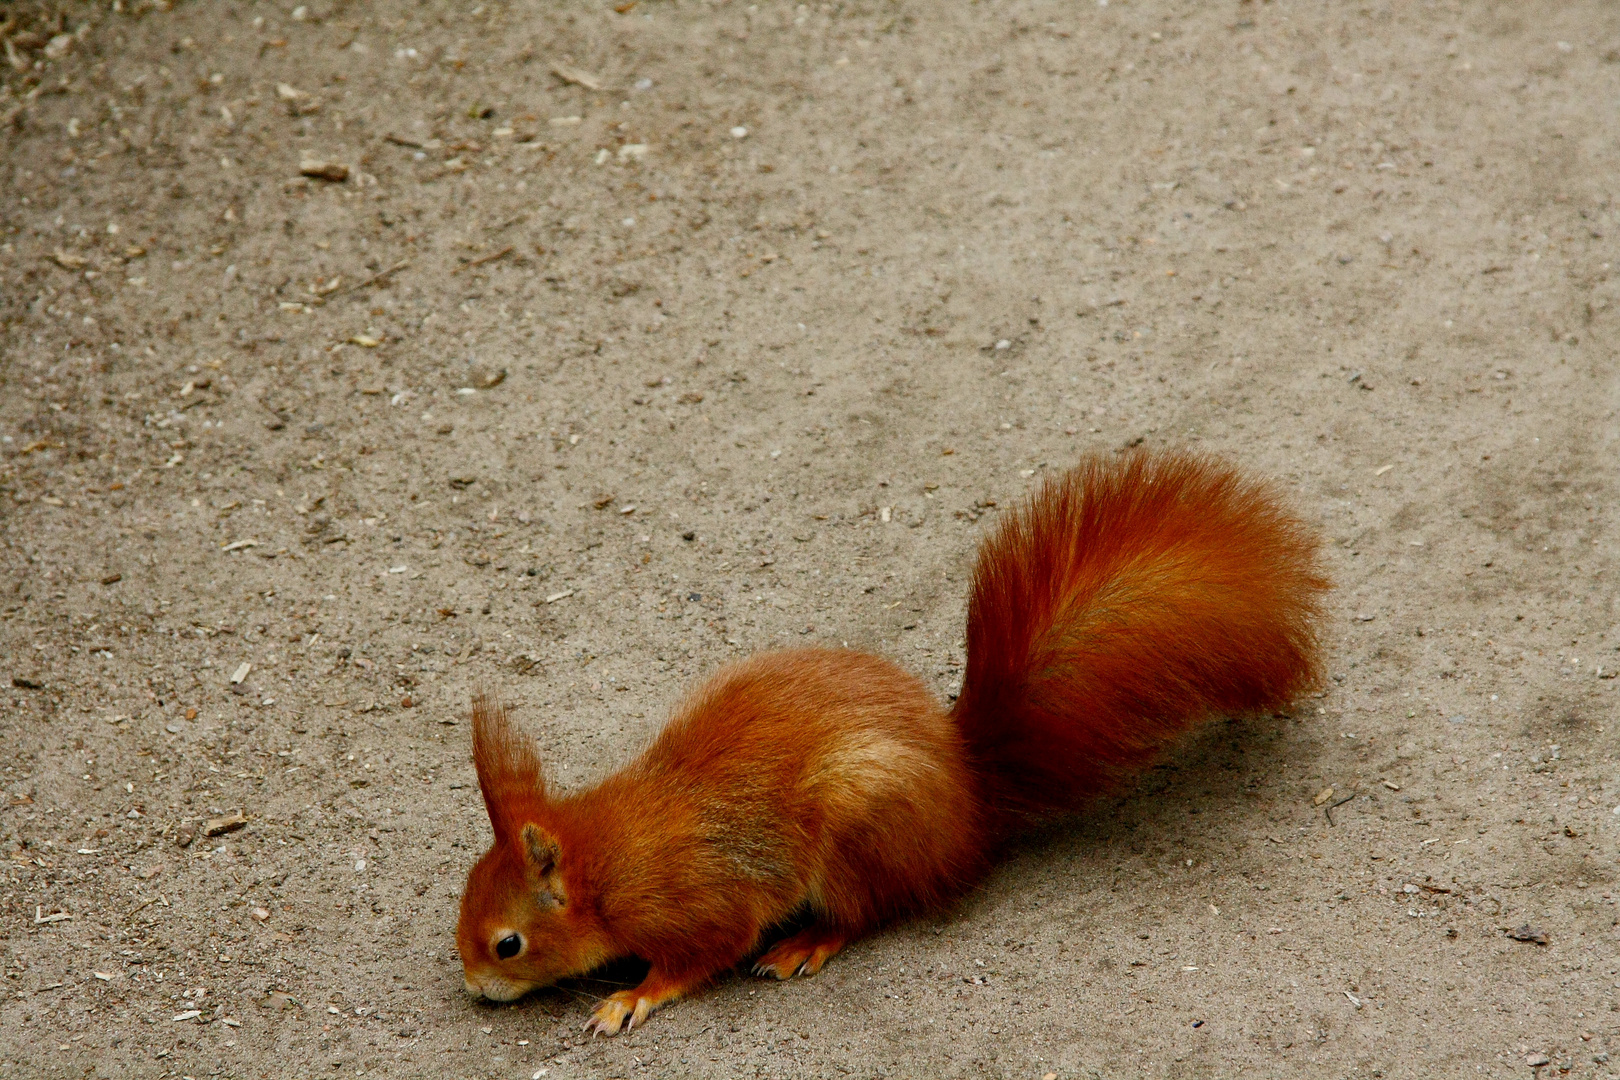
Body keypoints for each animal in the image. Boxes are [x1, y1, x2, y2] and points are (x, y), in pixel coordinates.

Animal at [460, 450, 1328, 1036]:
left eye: (507, 944)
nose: (470, 986)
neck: (608, 857)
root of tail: (969, 802)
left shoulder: (699, 901)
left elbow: (705, 951)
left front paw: (630, 996)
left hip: (860, 823)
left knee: (871, 909)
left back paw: (807, 941)